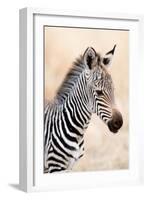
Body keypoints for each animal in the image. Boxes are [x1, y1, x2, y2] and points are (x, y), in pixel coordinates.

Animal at [43, 44, 123, 173]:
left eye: (113, 90)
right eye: (99, 92)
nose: (119, 122)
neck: (78, 132)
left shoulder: (69, 167)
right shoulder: (55, 166)